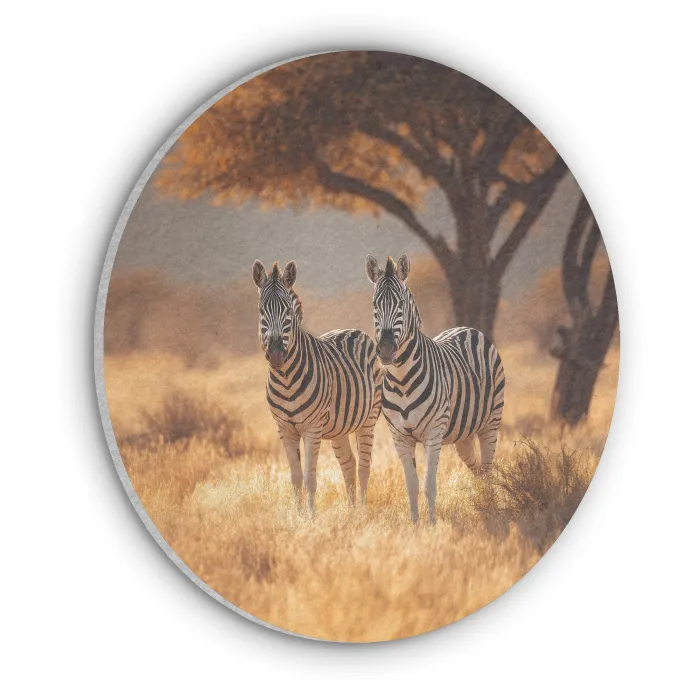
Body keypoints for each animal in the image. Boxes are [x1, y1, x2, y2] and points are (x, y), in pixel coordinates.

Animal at [253, 259, 383, 514]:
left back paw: (362, 512)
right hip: (338, 428)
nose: (276, 354)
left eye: (287, 311)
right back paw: (351, 512)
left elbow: (309, 477)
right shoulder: (284, 428)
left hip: (369, 419)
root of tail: (354, 330)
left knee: (364, 466)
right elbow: (295, 477)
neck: (285, 378)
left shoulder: (311, 427)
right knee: (349, 464)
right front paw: (299, 516)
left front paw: (311, 517)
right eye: (262, 311)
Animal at [365, 254, 505, 524]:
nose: (386, 350)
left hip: (490, 423)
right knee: (477, 470)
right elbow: (411, 484)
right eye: (375, 304)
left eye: (400, 303)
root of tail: (468, 328)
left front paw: (431, 525)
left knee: (487, 469)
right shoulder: (400, 436)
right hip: (463, 434)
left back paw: (491, 509)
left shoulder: (433, 432)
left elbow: (429, 485)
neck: (401, 380)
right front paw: (414, 525)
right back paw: (483, 505)